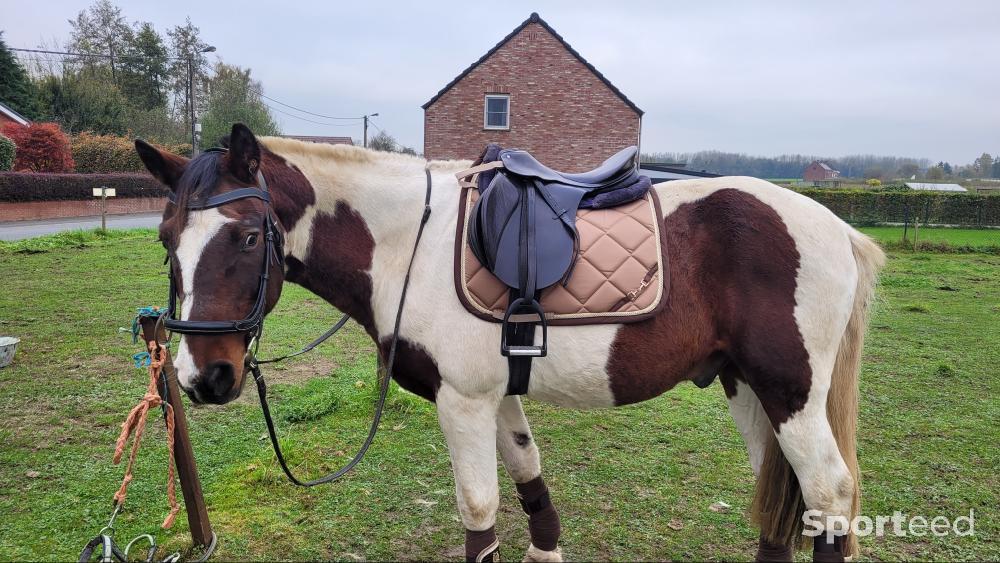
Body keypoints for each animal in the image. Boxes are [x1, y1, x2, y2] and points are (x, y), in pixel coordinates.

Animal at [133, 124, 884, 563]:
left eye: (246, 237)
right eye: (166, 239)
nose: (203, 378)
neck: (411, 243)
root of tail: (837, 227)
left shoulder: (462, 403)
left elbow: (479, 506)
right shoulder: (495, 396)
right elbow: (527, 472)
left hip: (790, 393)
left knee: (829, 491)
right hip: (748, 388)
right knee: (786, 497)